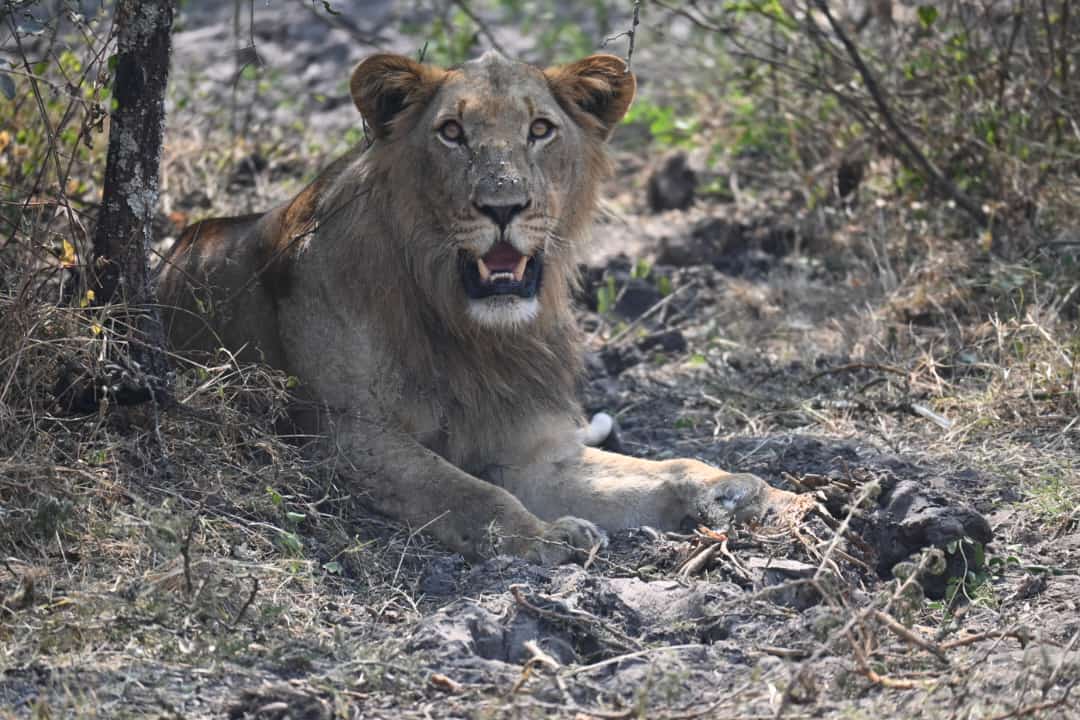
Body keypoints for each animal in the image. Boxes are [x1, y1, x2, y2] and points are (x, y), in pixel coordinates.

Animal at [158, 51, 802, 564]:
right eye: (451, 132)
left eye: (540, 129)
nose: (503, 206)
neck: (469, 329)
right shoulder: (348, 436)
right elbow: (469, 492)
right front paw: (546, 537)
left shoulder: (531, 451)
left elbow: (666, 470)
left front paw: (753, 493)